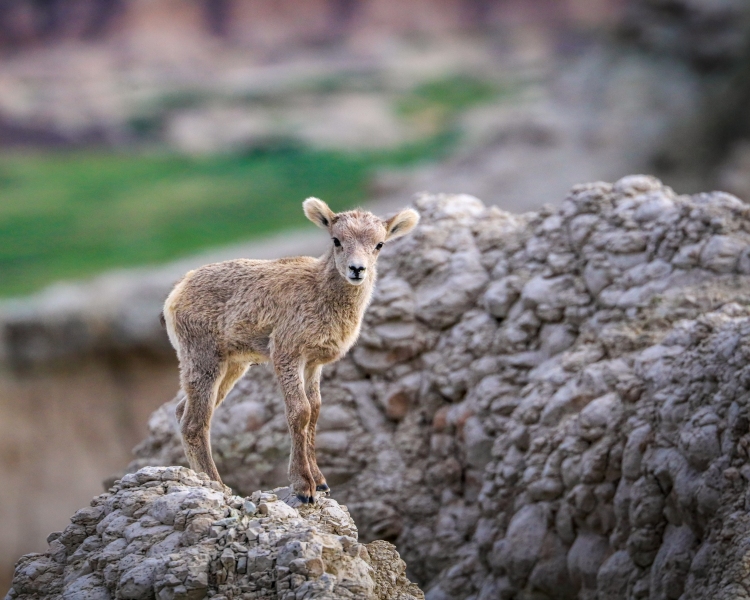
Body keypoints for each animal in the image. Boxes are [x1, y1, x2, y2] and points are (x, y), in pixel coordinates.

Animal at [164, 198, 420, 502]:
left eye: (379, 244)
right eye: (336, 240)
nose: (357, 269)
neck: (318, 293)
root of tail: (177, 293)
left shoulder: (313, 363)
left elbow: (316, 410)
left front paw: (321, 483)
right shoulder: (287, 354)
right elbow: (300, 412)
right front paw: (303, 488)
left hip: (232, 365)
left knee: (184, 411)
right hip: (203, 358)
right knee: (194, 422)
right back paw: (217, 485)